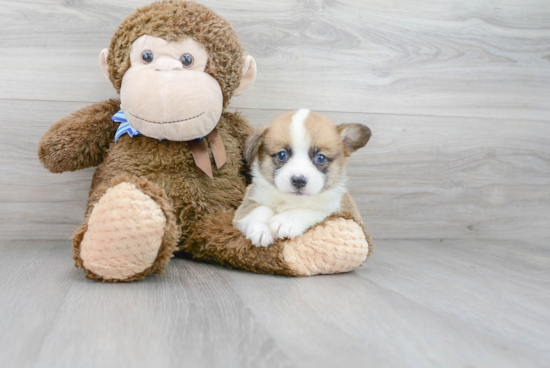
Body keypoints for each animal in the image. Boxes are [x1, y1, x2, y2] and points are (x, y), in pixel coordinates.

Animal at [235, 109, 374, 247]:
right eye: (282, 155)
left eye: (320, 158)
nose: (298, 181)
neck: (291, 201)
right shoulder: (249, 202)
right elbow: (258, 210)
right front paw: (261, 229)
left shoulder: (331, 211)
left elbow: (309, 211)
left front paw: (285, 221)